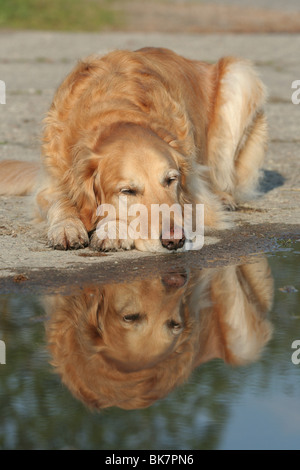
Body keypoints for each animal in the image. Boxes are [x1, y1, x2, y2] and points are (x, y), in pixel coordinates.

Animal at [0, 47, 268, 252]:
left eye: (171, 180)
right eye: (127, 191)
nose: (174, 241)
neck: (116, 111)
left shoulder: (196, 198)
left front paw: (113, 228)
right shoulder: (51, 182)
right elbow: (60, 201)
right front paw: (67, 227)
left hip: (238, 75)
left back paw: (223, 195)